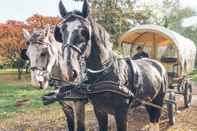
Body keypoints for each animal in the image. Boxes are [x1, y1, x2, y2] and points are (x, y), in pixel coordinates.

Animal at [53, 0, 168, 130]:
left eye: (84, 31)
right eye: (61, 31)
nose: (68, 71)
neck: (105, 75)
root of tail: (158, 64)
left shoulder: (121, 113)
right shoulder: (99, 110)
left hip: (158, 100)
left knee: (155, 119)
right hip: (149, 100)